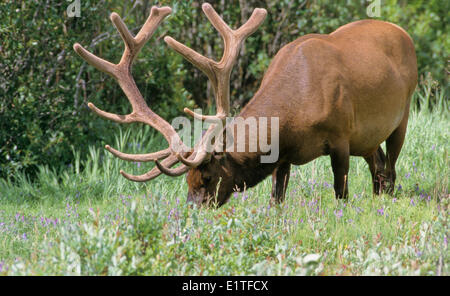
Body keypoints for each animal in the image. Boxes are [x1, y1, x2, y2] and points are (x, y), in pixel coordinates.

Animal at [73, 4, 418, 208]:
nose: (191, 210)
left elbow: (340, 194)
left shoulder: (340, 138)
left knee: (391, 168)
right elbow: (277, 199)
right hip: (368, 138)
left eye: (207, 177)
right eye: (186, 180)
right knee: (379, 169)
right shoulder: (284, 156)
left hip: (402, 116)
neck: (295, 114)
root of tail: (404, 32)